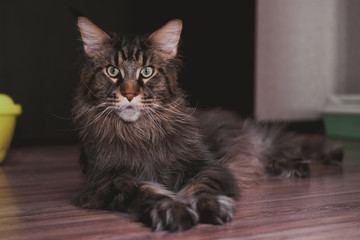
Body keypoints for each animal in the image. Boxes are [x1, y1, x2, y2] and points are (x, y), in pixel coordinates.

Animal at [72, 15, 344, 232]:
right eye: (113, 71)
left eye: (147, 72)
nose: (129, 94)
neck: (141, 133)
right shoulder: (107, 182)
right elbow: (147, 193)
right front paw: (172, 212)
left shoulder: (209, 166)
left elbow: (202, 188)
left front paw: (211, 207)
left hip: (256, 141)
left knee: (283, 145)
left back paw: (314, 160)